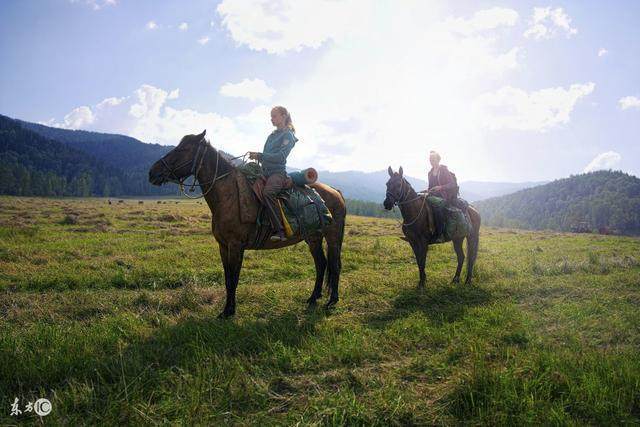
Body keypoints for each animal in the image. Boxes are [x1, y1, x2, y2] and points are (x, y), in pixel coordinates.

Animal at [148, 130, 348, 318]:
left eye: (183, 149)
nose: (152, 172)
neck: (228, 195)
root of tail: (335, 191)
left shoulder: (236, 245)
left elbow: (234, 279)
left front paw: (228, 311)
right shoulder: (223, 246)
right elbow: (228, 279)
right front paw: (228, 309)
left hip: (333, 237)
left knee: (334, 265)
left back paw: (332, 300)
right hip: (313, 237)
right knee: (321, 264)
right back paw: (313, 297)